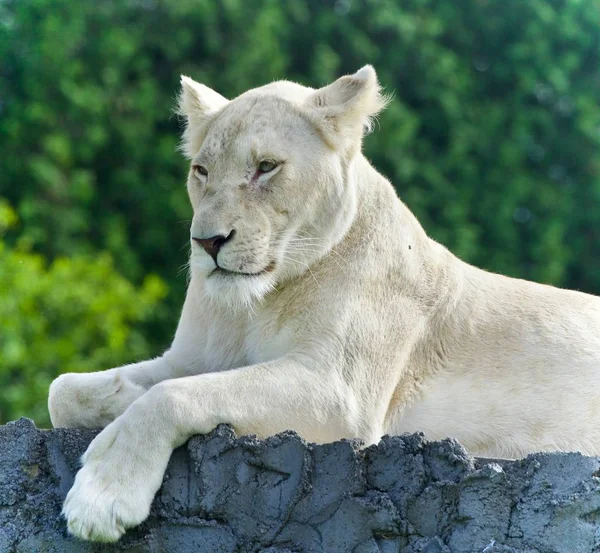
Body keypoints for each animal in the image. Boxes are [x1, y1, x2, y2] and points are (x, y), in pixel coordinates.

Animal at [49, 67, 600, 540]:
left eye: (265, 167)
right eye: (201, 171)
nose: (207, 242)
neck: (256, 304)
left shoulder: (340, 393)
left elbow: (171, 397)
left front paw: (101, 499)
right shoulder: (189, 359)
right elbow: (65, 391)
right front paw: (116, 404)